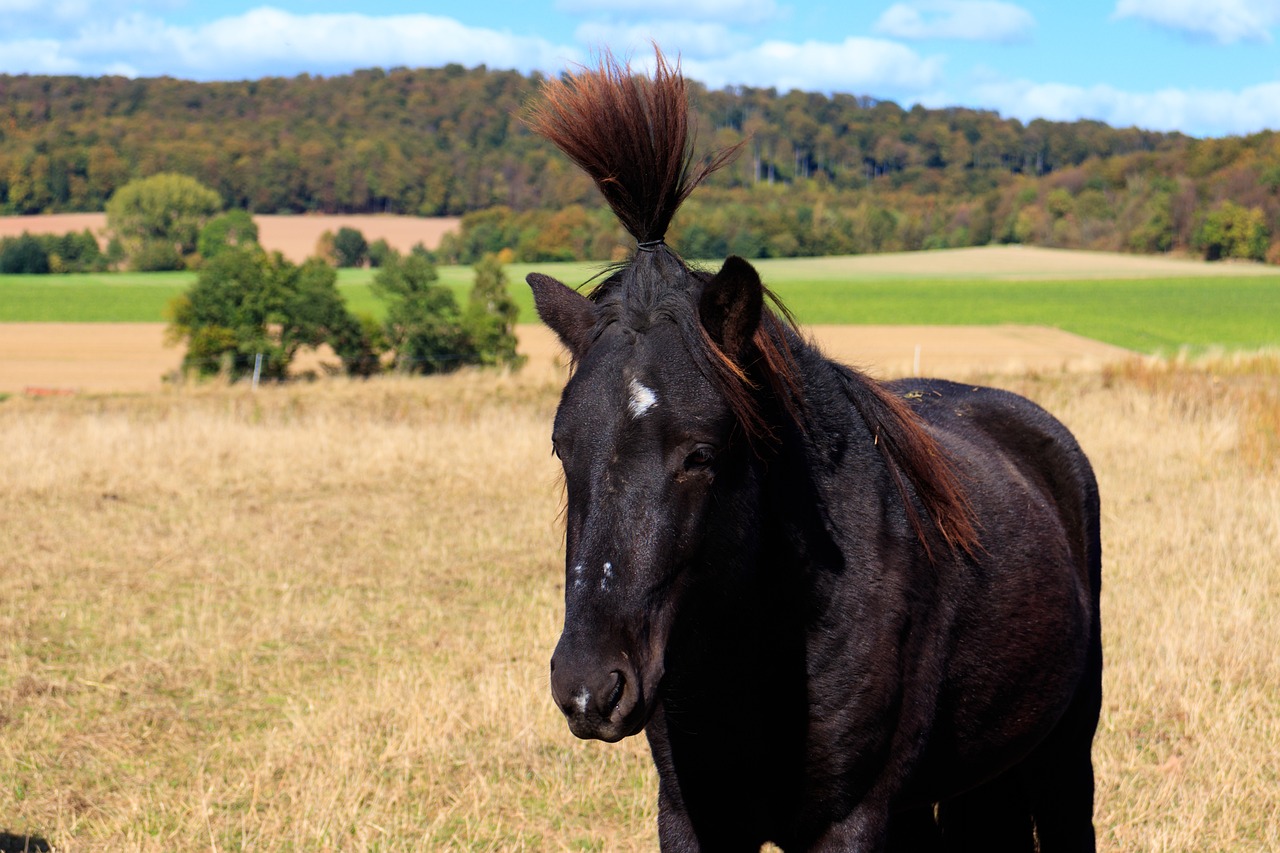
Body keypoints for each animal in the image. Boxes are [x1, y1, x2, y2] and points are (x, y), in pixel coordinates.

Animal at [519, 51, 1100, 845]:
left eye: (702, 453)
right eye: (561, 447)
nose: (589, 686)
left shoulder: (852, 822)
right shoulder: (692, 817)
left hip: (1065, 756)